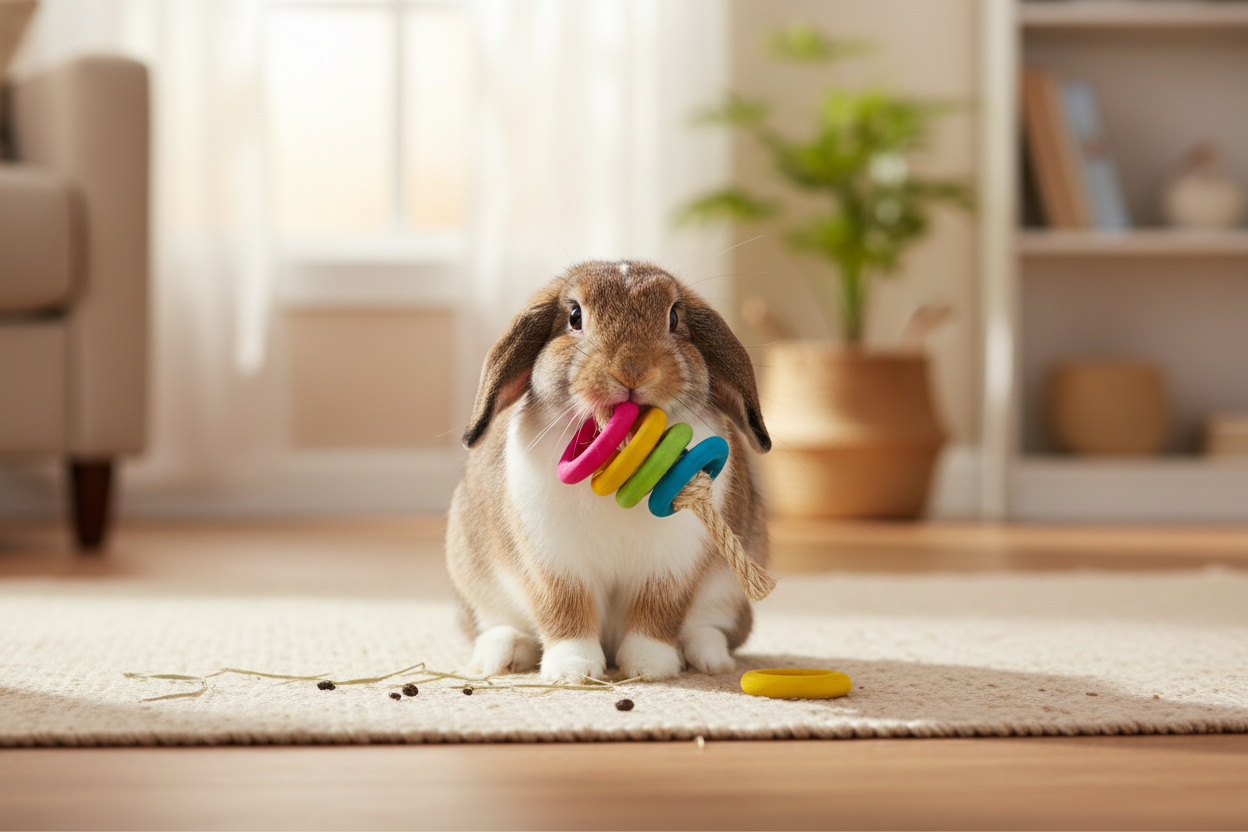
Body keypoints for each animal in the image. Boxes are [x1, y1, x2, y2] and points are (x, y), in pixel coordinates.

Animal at [445, 259, 771, 683]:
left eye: (674, 316)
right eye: (574, 316)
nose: (632, 370)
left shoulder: (670, 569)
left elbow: (655, 616)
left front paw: (650, 668)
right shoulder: (555, 565)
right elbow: (567, 614)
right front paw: (573, 672)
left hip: (728, 596)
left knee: (713, 627)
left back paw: (709, 657)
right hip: (479, 587)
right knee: (499, 625)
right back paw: (502, 655)